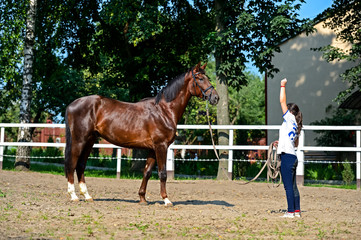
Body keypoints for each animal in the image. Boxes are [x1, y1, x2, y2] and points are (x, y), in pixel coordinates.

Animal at [63, 62, 218, 206]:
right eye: (200, 78)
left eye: (207, 78)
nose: (215, 97)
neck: (164, 110)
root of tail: (72, 104)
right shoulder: (161, 146)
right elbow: (162, 173)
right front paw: (166, 200)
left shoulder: (152, 149)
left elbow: (147, 172)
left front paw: (142, 198)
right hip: (79, 140)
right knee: (72, 164)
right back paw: (74, 196)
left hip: (90, 141)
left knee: (81, 166)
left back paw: (87, 196)